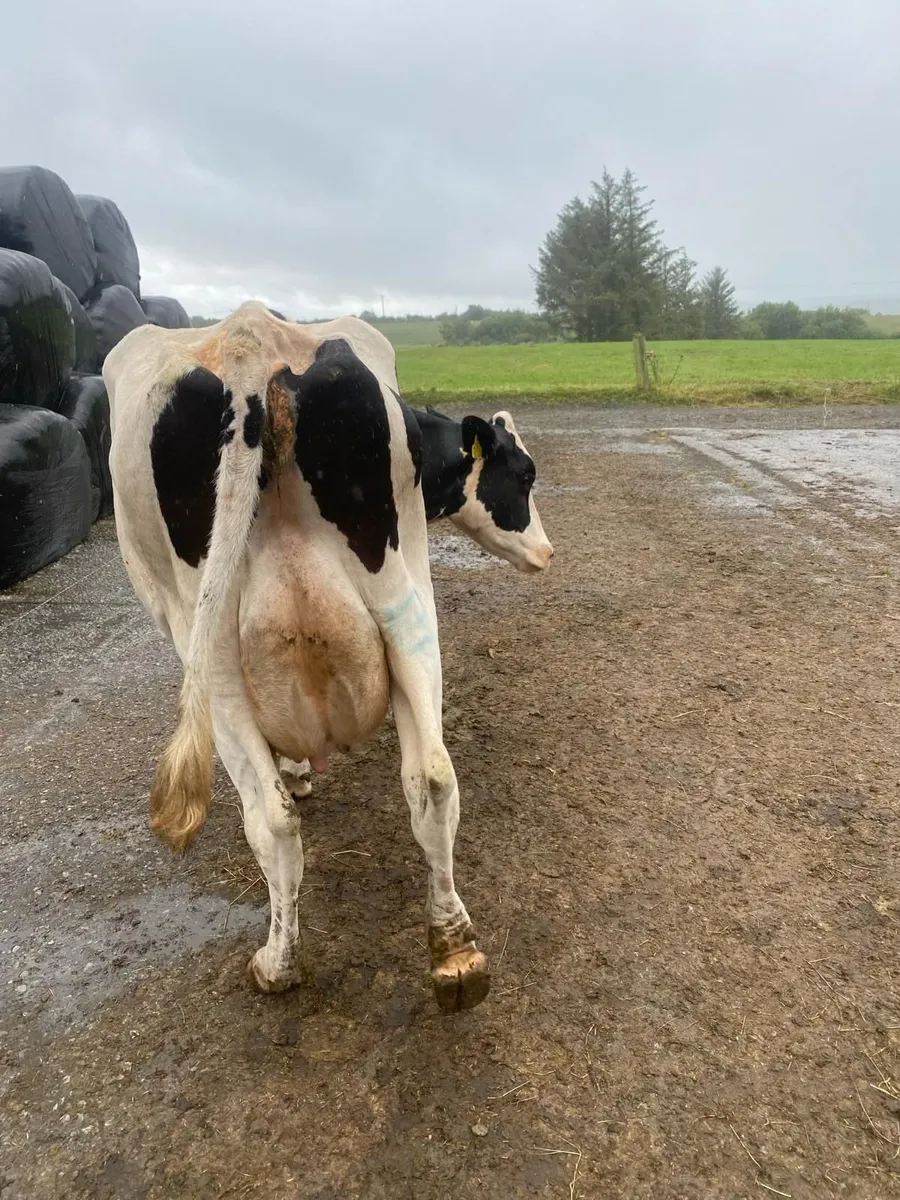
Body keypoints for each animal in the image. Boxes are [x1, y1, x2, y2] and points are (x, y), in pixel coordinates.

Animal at [104, 302, 552, 1012]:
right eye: (525, 476)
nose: (547, 552)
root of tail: (250, 337)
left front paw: (296, 772)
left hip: (206, 645)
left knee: (272, 821)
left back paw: (277, 963)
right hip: (404, 601)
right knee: (432, 780)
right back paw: (456, 955)